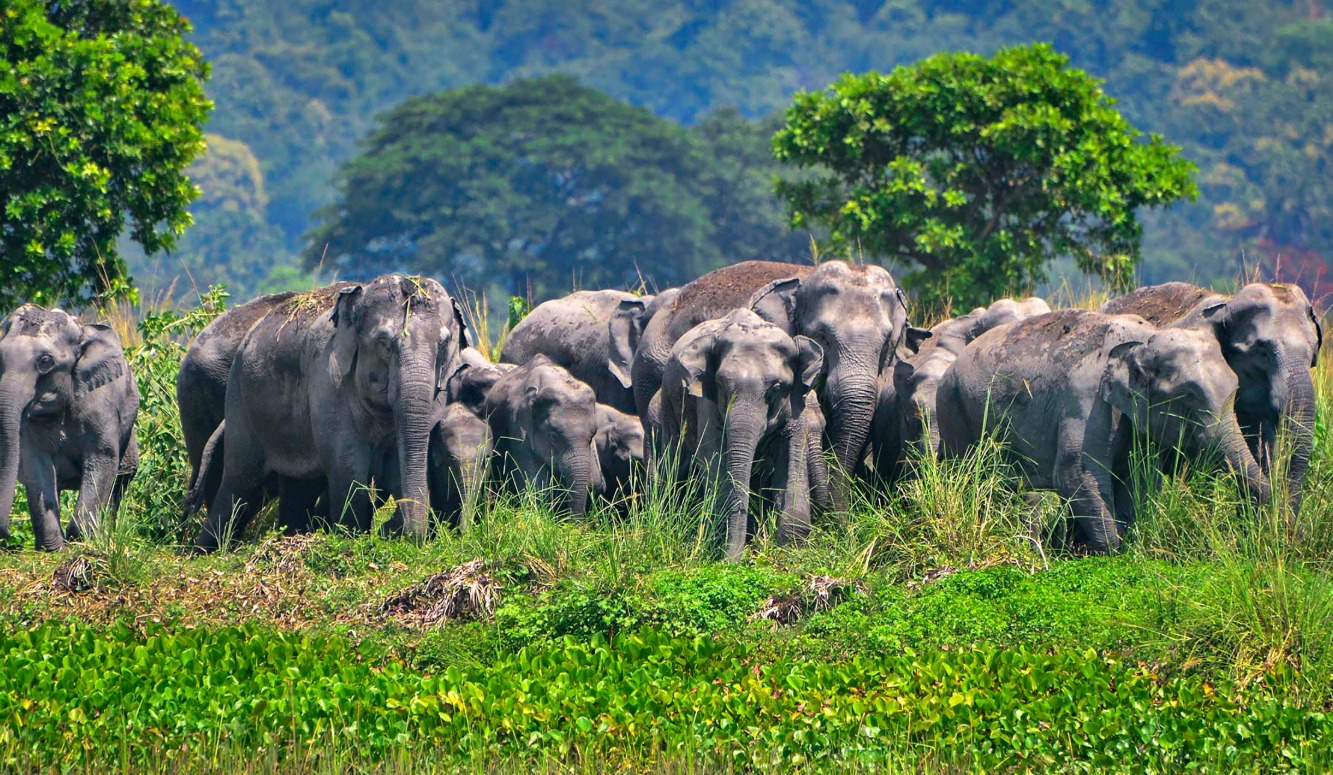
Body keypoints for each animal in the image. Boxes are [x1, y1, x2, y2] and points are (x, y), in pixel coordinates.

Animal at [0, 305, 140, 550]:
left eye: (45, 361)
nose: (6, 533)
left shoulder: (100, 405)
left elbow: (102, 458)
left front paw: (81, 541)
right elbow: (36, 464)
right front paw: (52, 548)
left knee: (121, 479)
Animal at [194, 275, 469, 552]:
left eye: (443, 345)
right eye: (383, 344)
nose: (412, 539)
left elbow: (397, 462)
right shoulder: (327, 378)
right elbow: (347, 461)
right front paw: (352, 538)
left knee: (297, 487)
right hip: (239, 399)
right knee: (239, 484)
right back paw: (205, 552)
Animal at [651, 309, 823, 561]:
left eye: (776, 388)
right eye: (722, 385)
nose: (731, 561)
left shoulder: (796, 401)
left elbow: (793, 451)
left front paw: (791, 547)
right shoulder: (706, 398)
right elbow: (713, 454)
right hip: (668, 404)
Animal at [936, 310, 1272, 553]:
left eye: (1236, 389)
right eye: (1187, 397)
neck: (1144, 340)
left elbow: (1137, 481)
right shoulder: (1088, 401)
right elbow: (1075, 475)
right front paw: (1111, 553)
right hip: (954, 411)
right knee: (971, 478)